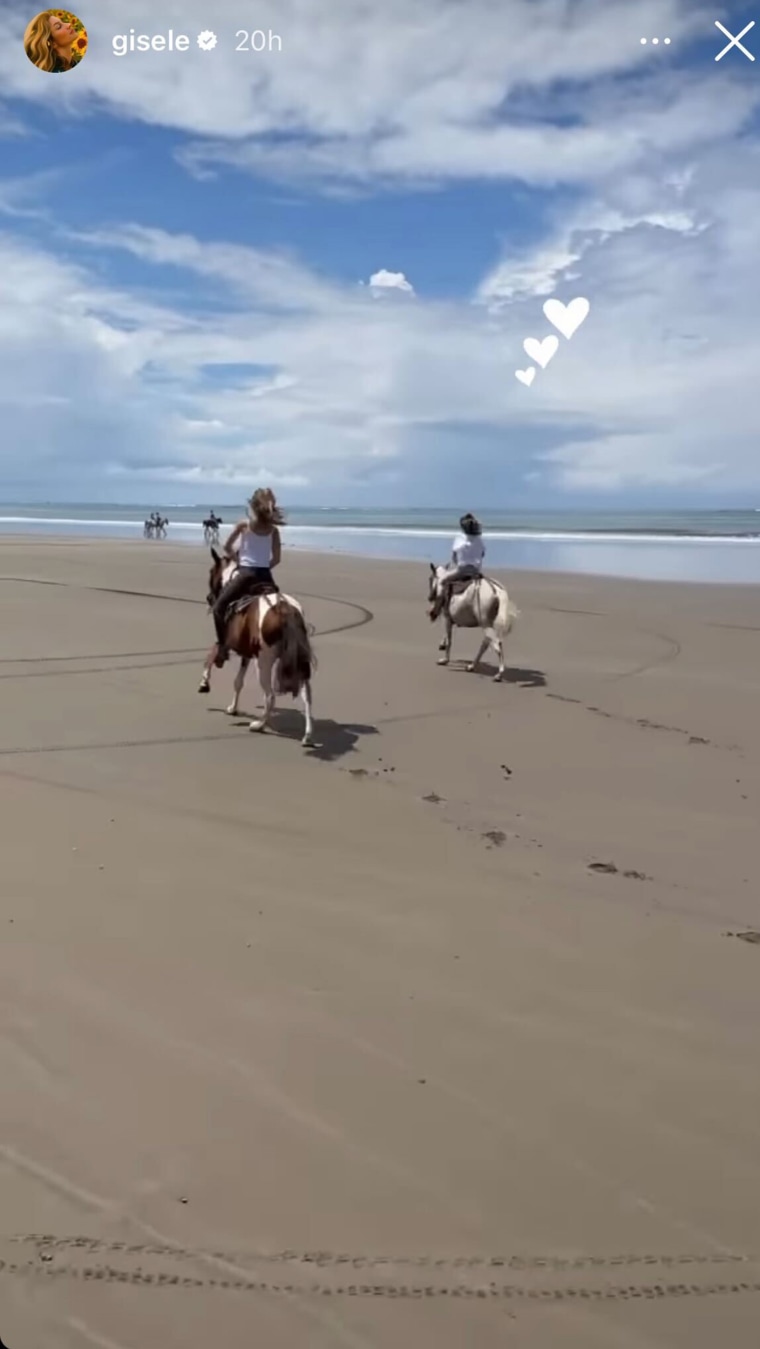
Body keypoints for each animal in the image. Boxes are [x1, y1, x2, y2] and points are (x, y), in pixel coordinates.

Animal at [199, 547, 315, 750]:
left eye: (211, 572)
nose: (209, 598)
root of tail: (285, 608)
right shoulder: (247, 653)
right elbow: (238, 682)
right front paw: (232, 708)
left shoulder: (225, 642)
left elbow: (211, 655)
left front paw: (204, 683)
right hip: (299, 661)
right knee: (306, 694)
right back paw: (307, 736)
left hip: (264, 662)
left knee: (270, 696)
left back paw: (259, 725)